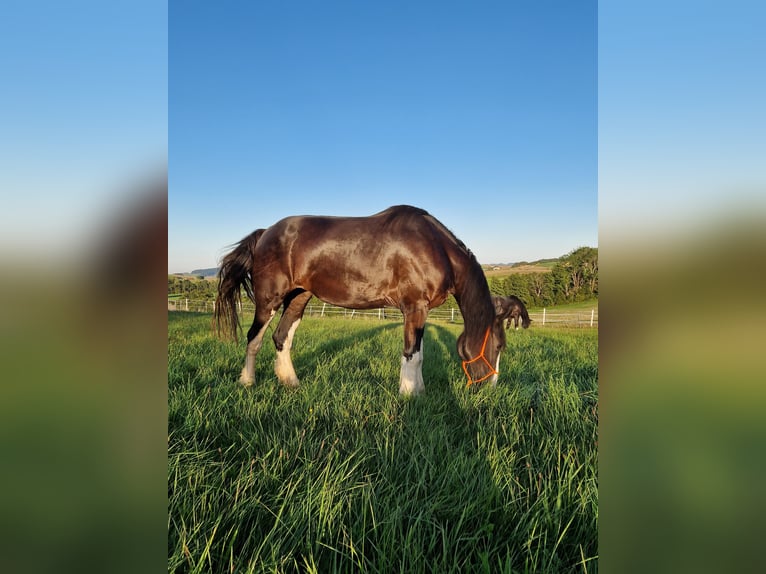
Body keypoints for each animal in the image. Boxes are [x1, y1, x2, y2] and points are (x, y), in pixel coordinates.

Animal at [213, 205, 508, 398]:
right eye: (498, 345)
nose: (492, 388)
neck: (434, 247)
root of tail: (264, 233)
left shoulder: (420, 312)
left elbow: (420, 354)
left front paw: (419, 392)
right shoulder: (414, 307)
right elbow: (411, 355)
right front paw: (408, 395)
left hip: (299, 297)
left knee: (281, 337)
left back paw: (291, 382)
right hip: (269, 300)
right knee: (254, 337)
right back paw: (247, 382)